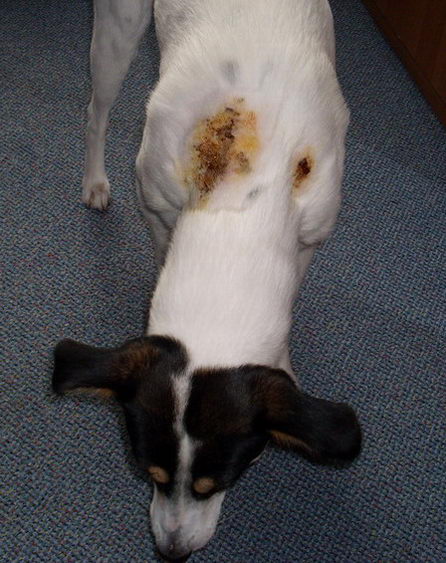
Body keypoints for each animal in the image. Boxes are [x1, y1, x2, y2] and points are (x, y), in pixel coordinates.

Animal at [52, 1, 360, 560]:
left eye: (223, 480)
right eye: (147, 473)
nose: (170, 552)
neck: (237, 200)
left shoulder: (310, 235)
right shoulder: (156, 203)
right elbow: (161, 250)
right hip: (117, 32)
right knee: (95, 112)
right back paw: (94, 181)